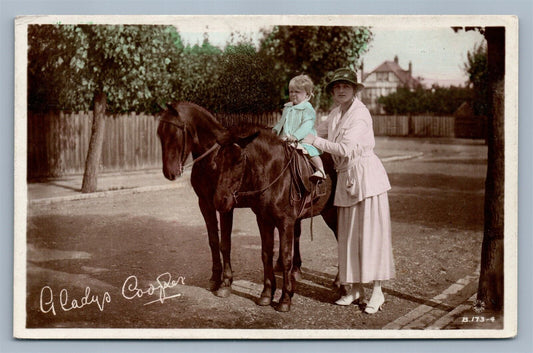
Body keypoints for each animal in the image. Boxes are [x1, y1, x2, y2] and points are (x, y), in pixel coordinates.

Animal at [212, 126, 336, 310]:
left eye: (239, 161)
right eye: (217, 160)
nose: (220, 201)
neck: (274, 176)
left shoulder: (286, 223)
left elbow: (285, 258)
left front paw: (285, 298)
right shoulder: (264, 221)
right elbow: (266, 254)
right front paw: (266, 294)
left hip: (333, 215)